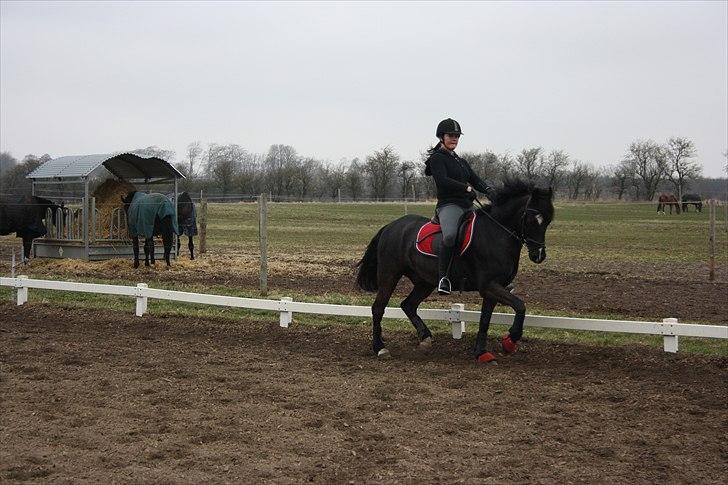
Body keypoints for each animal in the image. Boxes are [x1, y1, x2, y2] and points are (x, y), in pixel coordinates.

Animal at [356, 180, 556, 362]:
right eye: (530, 219)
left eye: (548, 221)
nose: (538, 255)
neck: (496, 233)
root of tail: (391, 226)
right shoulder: (489, 285)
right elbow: (520, 305)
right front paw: (510, 340)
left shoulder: (492, 289)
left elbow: (485, 320)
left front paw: (481, 353)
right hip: (390, 275)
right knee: (378, 308)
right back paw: (380, 348)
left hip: (424, 282)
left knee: (408, 305)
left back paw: (425, 337)